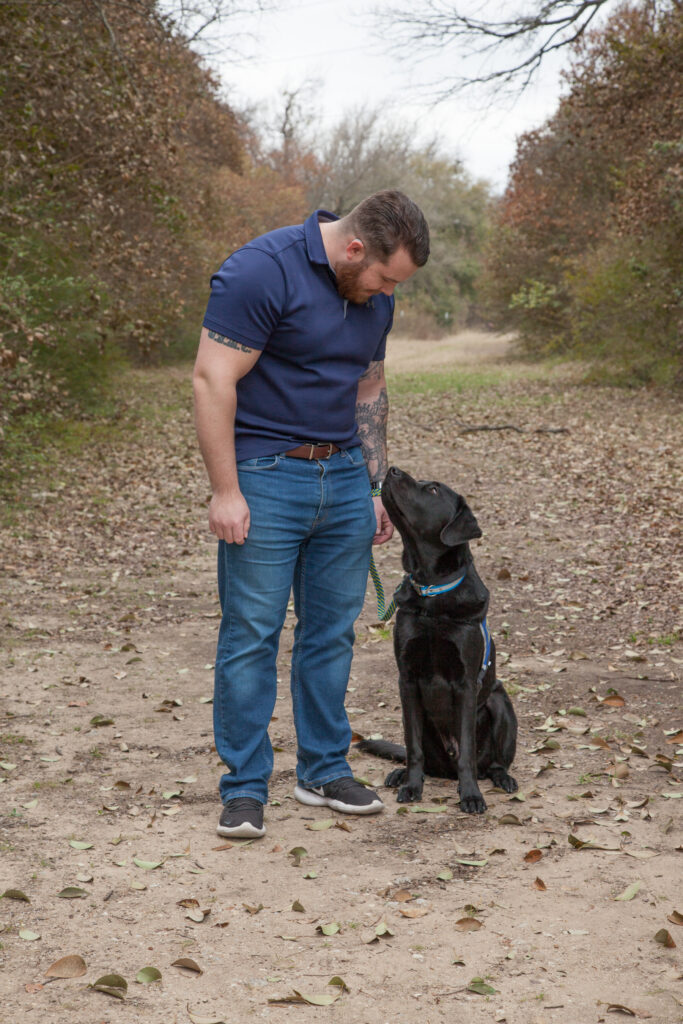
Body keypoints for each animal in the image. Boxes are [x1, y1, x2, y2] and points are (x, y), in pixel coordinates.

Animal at [360, 468, 516, 811]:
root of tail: (446, 768)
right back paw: (400, 774)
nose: (392, 470)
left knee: (492, 763)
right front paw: (412, 786)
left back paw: (502, 778)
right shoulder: (407, 680)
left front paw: (470, 795)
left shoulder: (467, 683)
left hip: (499, 702)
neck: (431, 590)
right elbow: (412, 746)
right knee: (421, 758)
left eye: (432, 490)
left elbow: (468, 752)